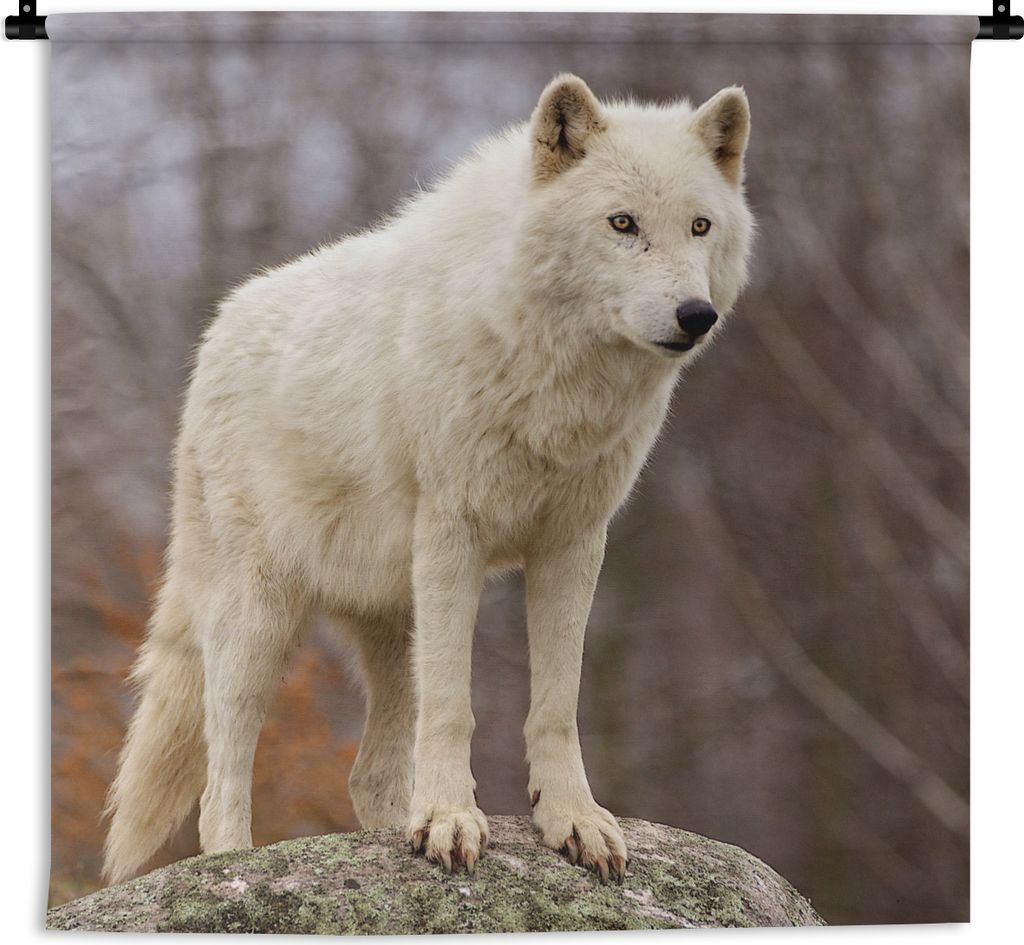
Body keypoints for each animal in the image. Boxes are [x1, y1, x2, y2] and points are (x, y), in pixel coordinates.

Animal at [102, 74, 753, 885]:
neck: (552, 372)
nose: (696, 315)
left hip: (389, 619)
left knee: (368, 775)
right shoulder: (453, 534)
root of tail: (215, 332)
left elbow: (557, 703)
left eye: (700, 226)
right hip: (259, 619)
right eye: (622, 223)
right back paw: (234, 867)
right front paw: (449, 820)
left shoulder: (574, 542)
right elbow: (453, 706)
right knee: (222, 771)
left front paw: (571, 820)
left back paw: (393, 832)